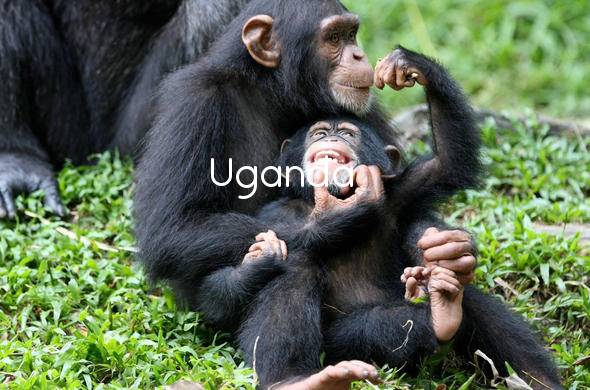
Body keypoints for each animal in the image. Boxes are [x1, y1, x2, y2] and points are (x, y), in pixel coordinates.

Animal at [208, 49, 564, 390]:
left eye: (348, 133)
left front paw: (412, 65)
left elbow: (447, 164)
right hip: (338, 345)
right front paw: (339, 215)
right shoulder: (276, 213)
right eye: (318, 133)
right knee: (301, 269)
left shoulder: (404, 189)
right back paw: (292, 379)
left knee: (455, 308)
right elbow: (258, 239)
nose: (331, 139)